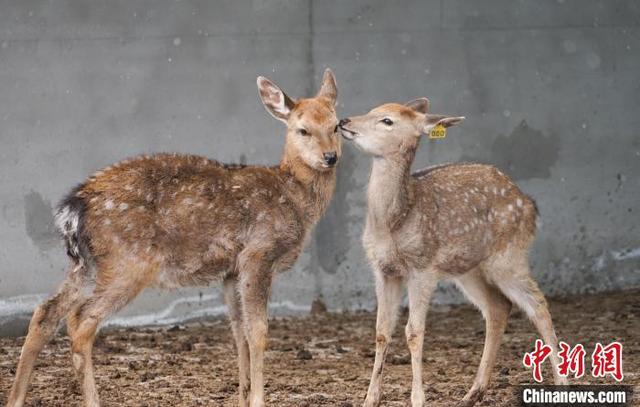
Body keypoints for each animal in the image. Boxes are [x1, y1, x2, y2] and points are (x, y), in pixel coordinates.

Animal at [6, 68, 344, 406]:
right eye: (303, 130)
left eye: (336, 125)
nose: (330, 157)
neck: (294, 196)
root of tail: (74, 207)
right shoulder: (257, 254)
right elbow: (257, 333)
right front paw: (259, 400)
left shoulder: (231, 270)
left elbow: (238, 333)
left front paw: (243, 397)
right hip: (128, 261)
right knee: (79, 321)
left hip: (87, 264)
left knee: (45, 312)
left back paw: (16, 398)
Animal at [338, 99, 568, 407]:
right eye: (372, 109)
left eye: (387, 120)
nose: (344, 121)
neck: (394, 222)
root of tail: (530, 204)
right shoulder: (383, 270)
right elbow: (381, 331)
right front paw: (369, 399)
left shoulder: (422, 267)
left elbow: (414, 331)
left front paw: (418, 399)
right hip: (468, 269)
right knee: (498, 307)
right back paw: (472, 393)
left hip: (508, 256)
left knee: (538, 305)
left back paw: (562, 384)